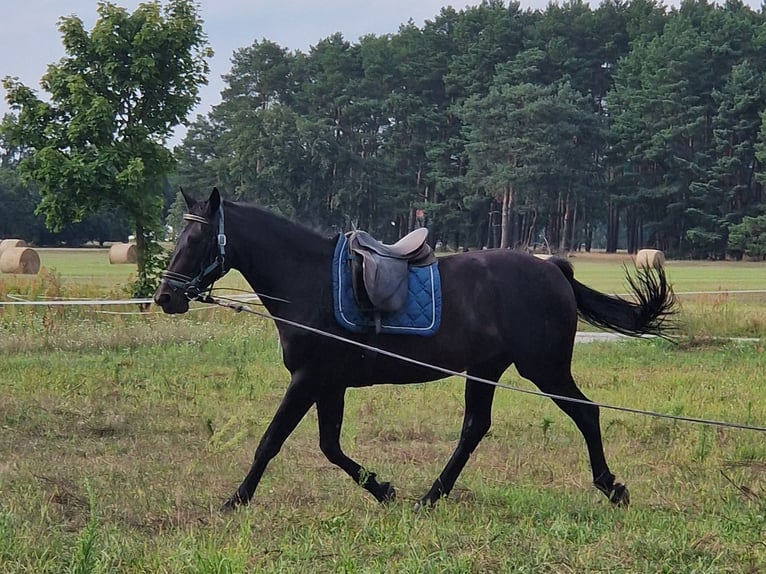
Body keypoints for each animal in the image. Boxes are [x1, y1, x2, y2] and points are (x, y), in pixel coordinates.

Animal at [152, 190, 680, 512]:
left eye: (197, 238)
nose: (165, 297)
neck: (309, 281)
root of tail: (552, 267)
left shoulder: (308, 379)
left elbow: (271, 441)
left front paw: (235, 500)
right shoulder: (328, 383)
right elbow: (329, 446)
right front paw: (383, 490)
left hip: (544, 368)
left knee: (585, 413)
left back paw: (611, 487)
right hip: (487, 370)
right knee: (474, 428)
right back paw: (432, 495)